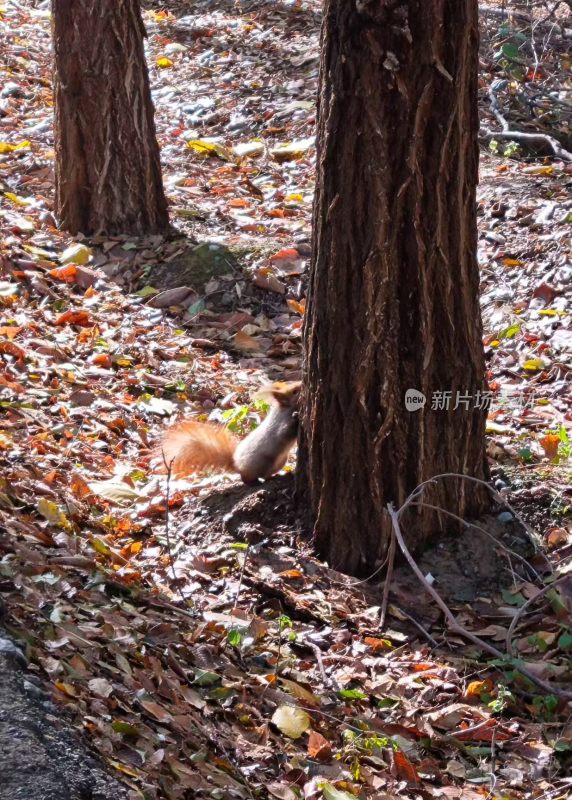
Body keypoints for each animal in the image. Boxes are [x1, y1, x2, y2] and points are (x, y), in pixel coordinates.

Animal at [159, 382, 302, 488]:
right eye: (295, 391)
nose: (301, 383)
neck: (283, 410)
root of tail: (237, 466)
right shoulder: (279, 427)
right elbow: (285, 432)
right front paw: (296, 418)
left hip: (280, 461)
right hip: (262, 462)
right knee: (249, 478)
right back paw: (256, 482)